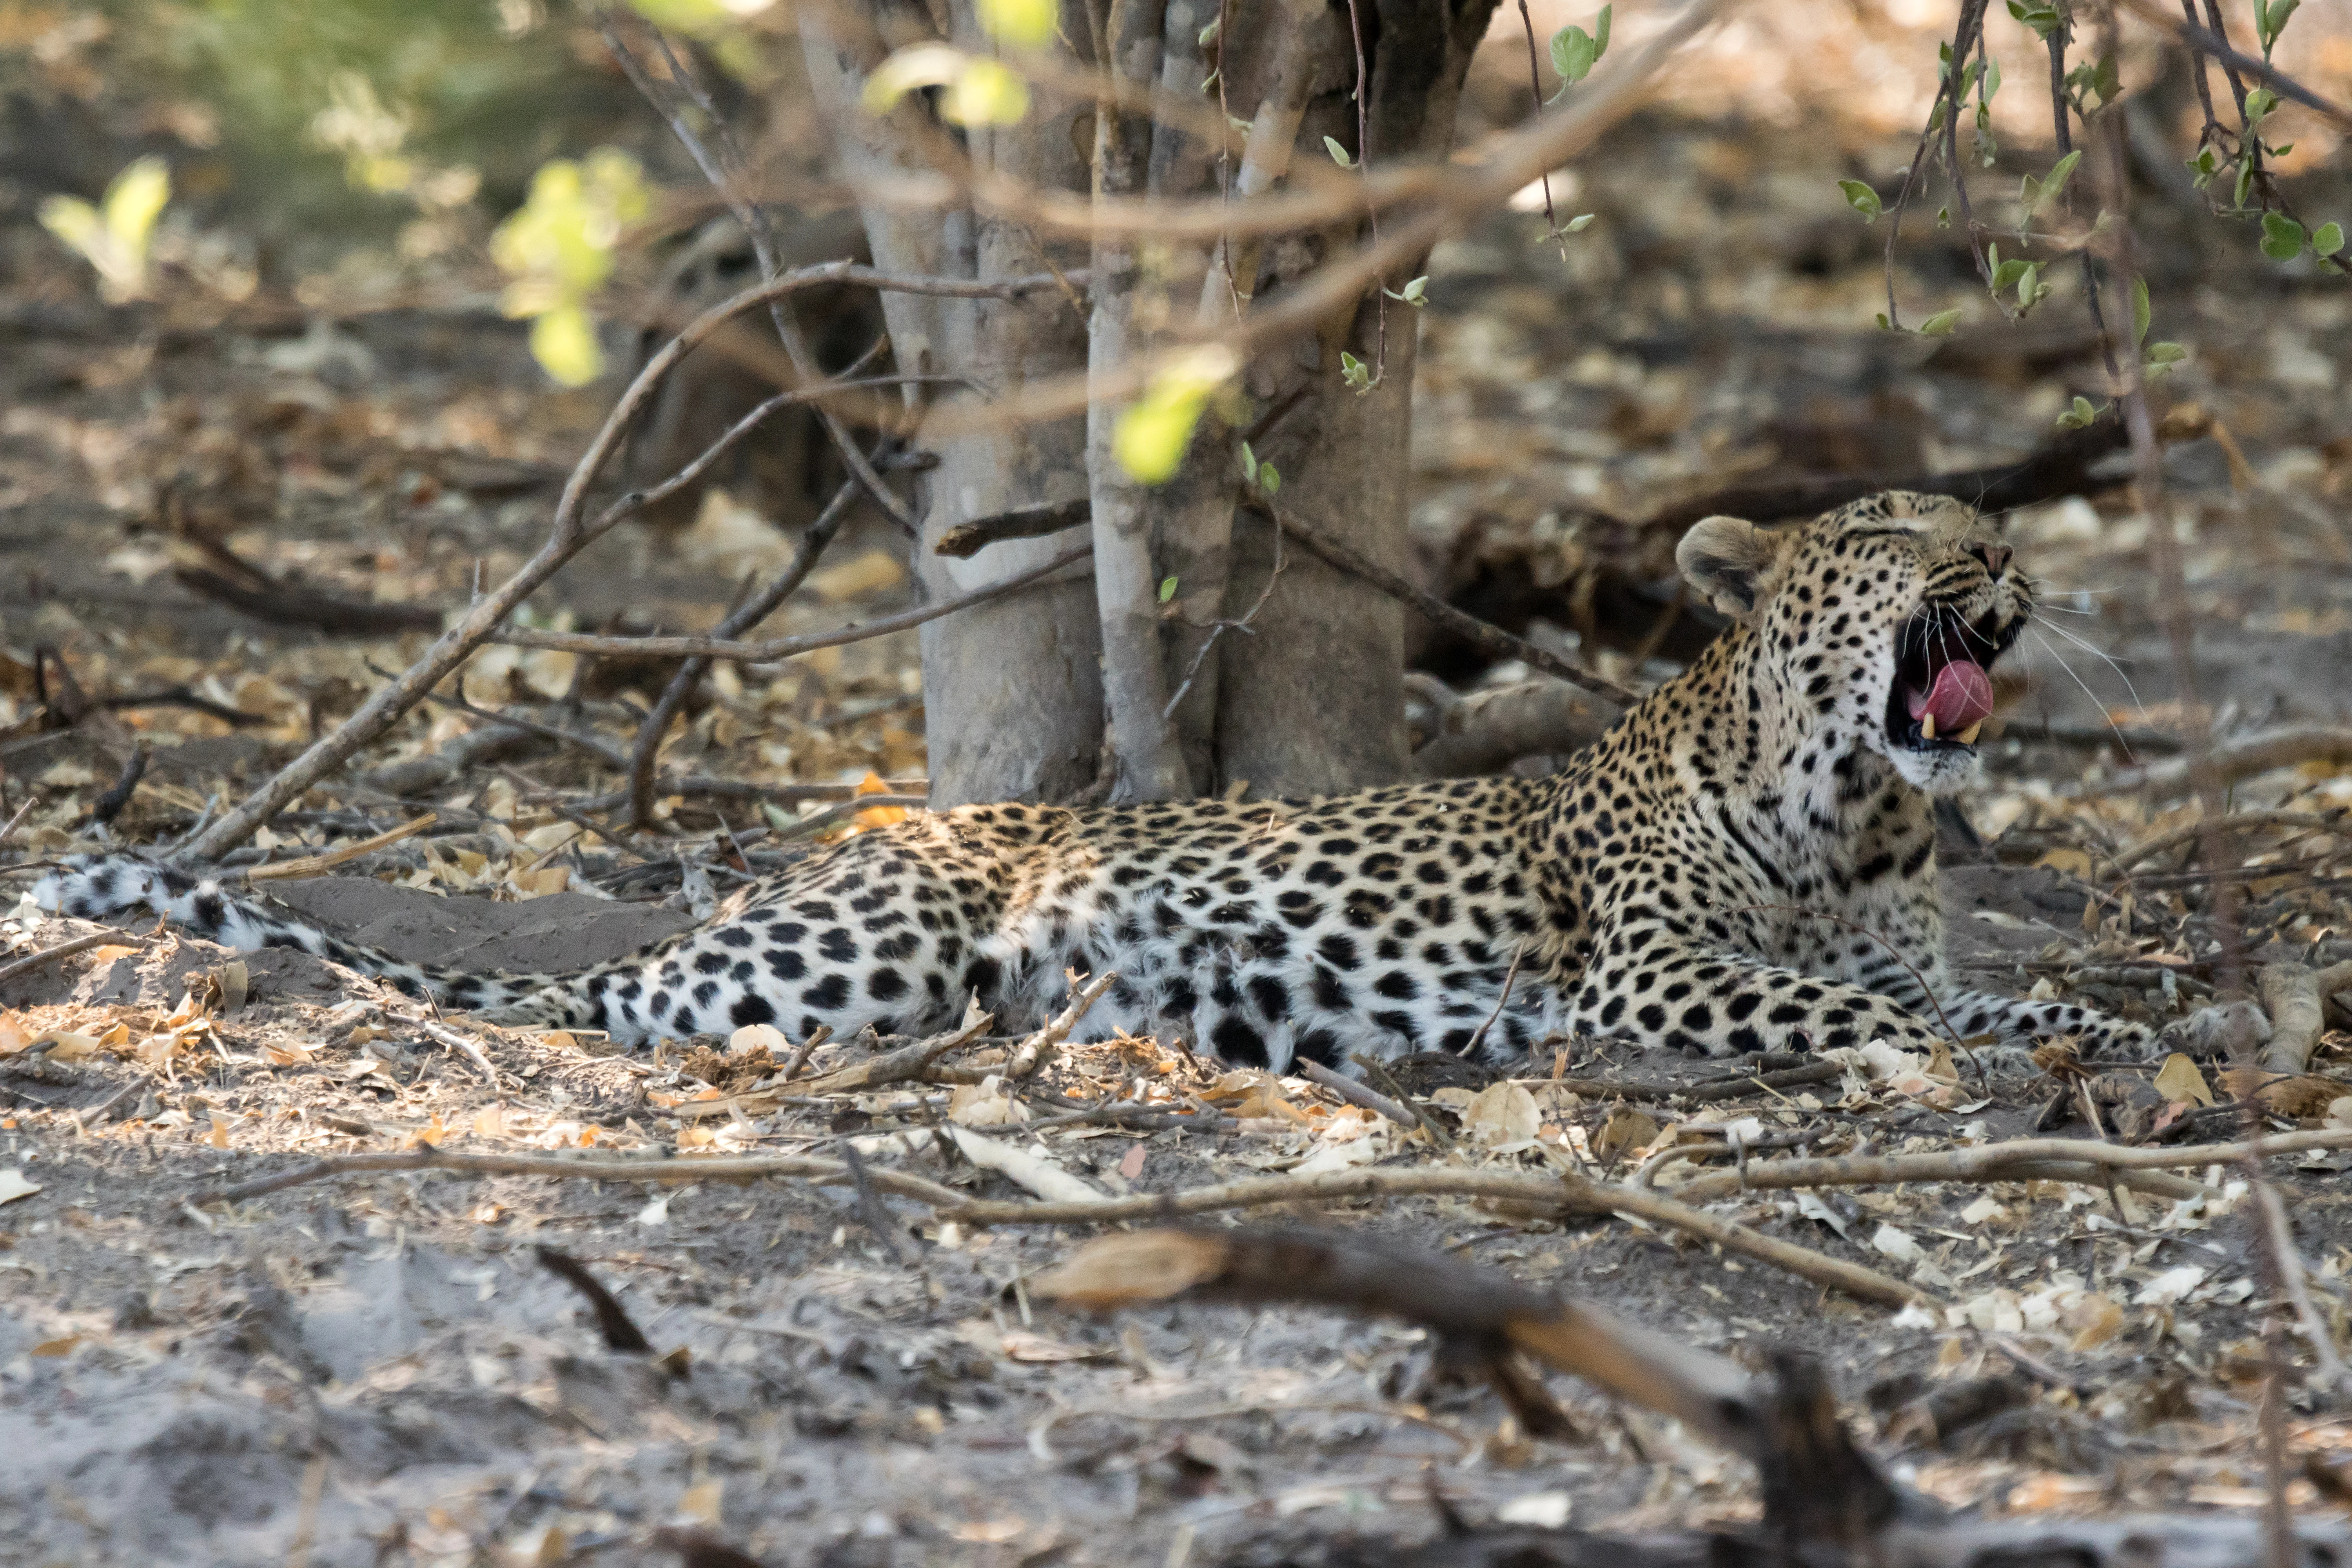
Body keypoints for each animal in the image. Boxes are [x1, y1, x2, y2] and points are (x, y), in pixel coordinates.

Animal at [32, 490, 2152, 1070]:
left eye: (1974, 518)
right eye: (1887, 529)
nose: (2003, 553)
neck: (1857, 809)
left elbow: (1983, 993)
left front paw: (2108, 1023)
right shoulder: (1651, 970)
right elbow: (1842, 1008)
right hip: (862, 939)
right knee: (612, 1001)